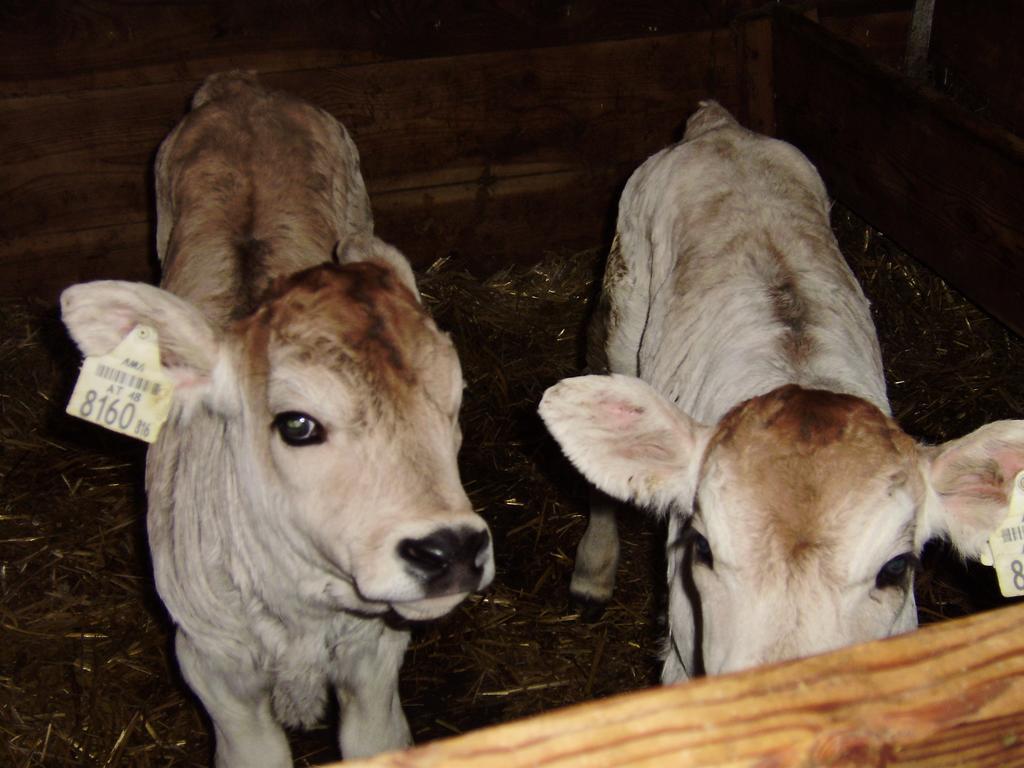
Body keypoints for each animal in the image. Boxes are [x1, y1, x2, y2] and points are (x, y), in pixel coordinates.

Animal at [58, 70, 491, 765]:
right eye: (297, 424)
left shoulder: (375, 656)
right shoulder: (212, 664)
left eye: (455, 398)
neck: (301, 612)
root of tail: (244, 89)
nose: (450, 548)